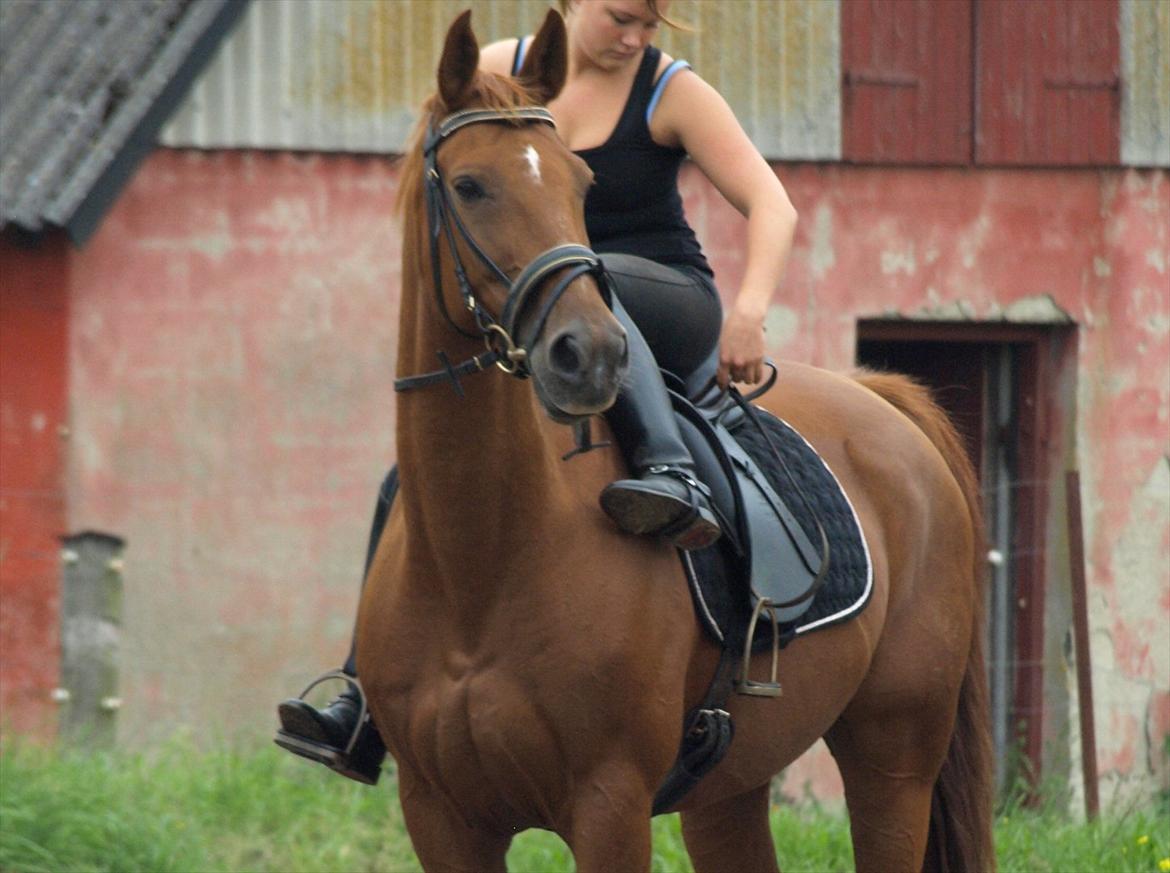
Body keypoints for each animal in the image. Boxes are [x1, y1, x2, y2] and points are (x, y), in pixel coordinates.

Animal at [351, 8, 992, 870]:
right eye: (470, 185)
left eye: (580, 183)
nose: (591, 353)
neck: (479, 562)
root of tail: (882, 400)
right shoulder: (441, 815)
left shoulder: (609, 801)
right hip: (731, 784)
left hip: (894, 758)